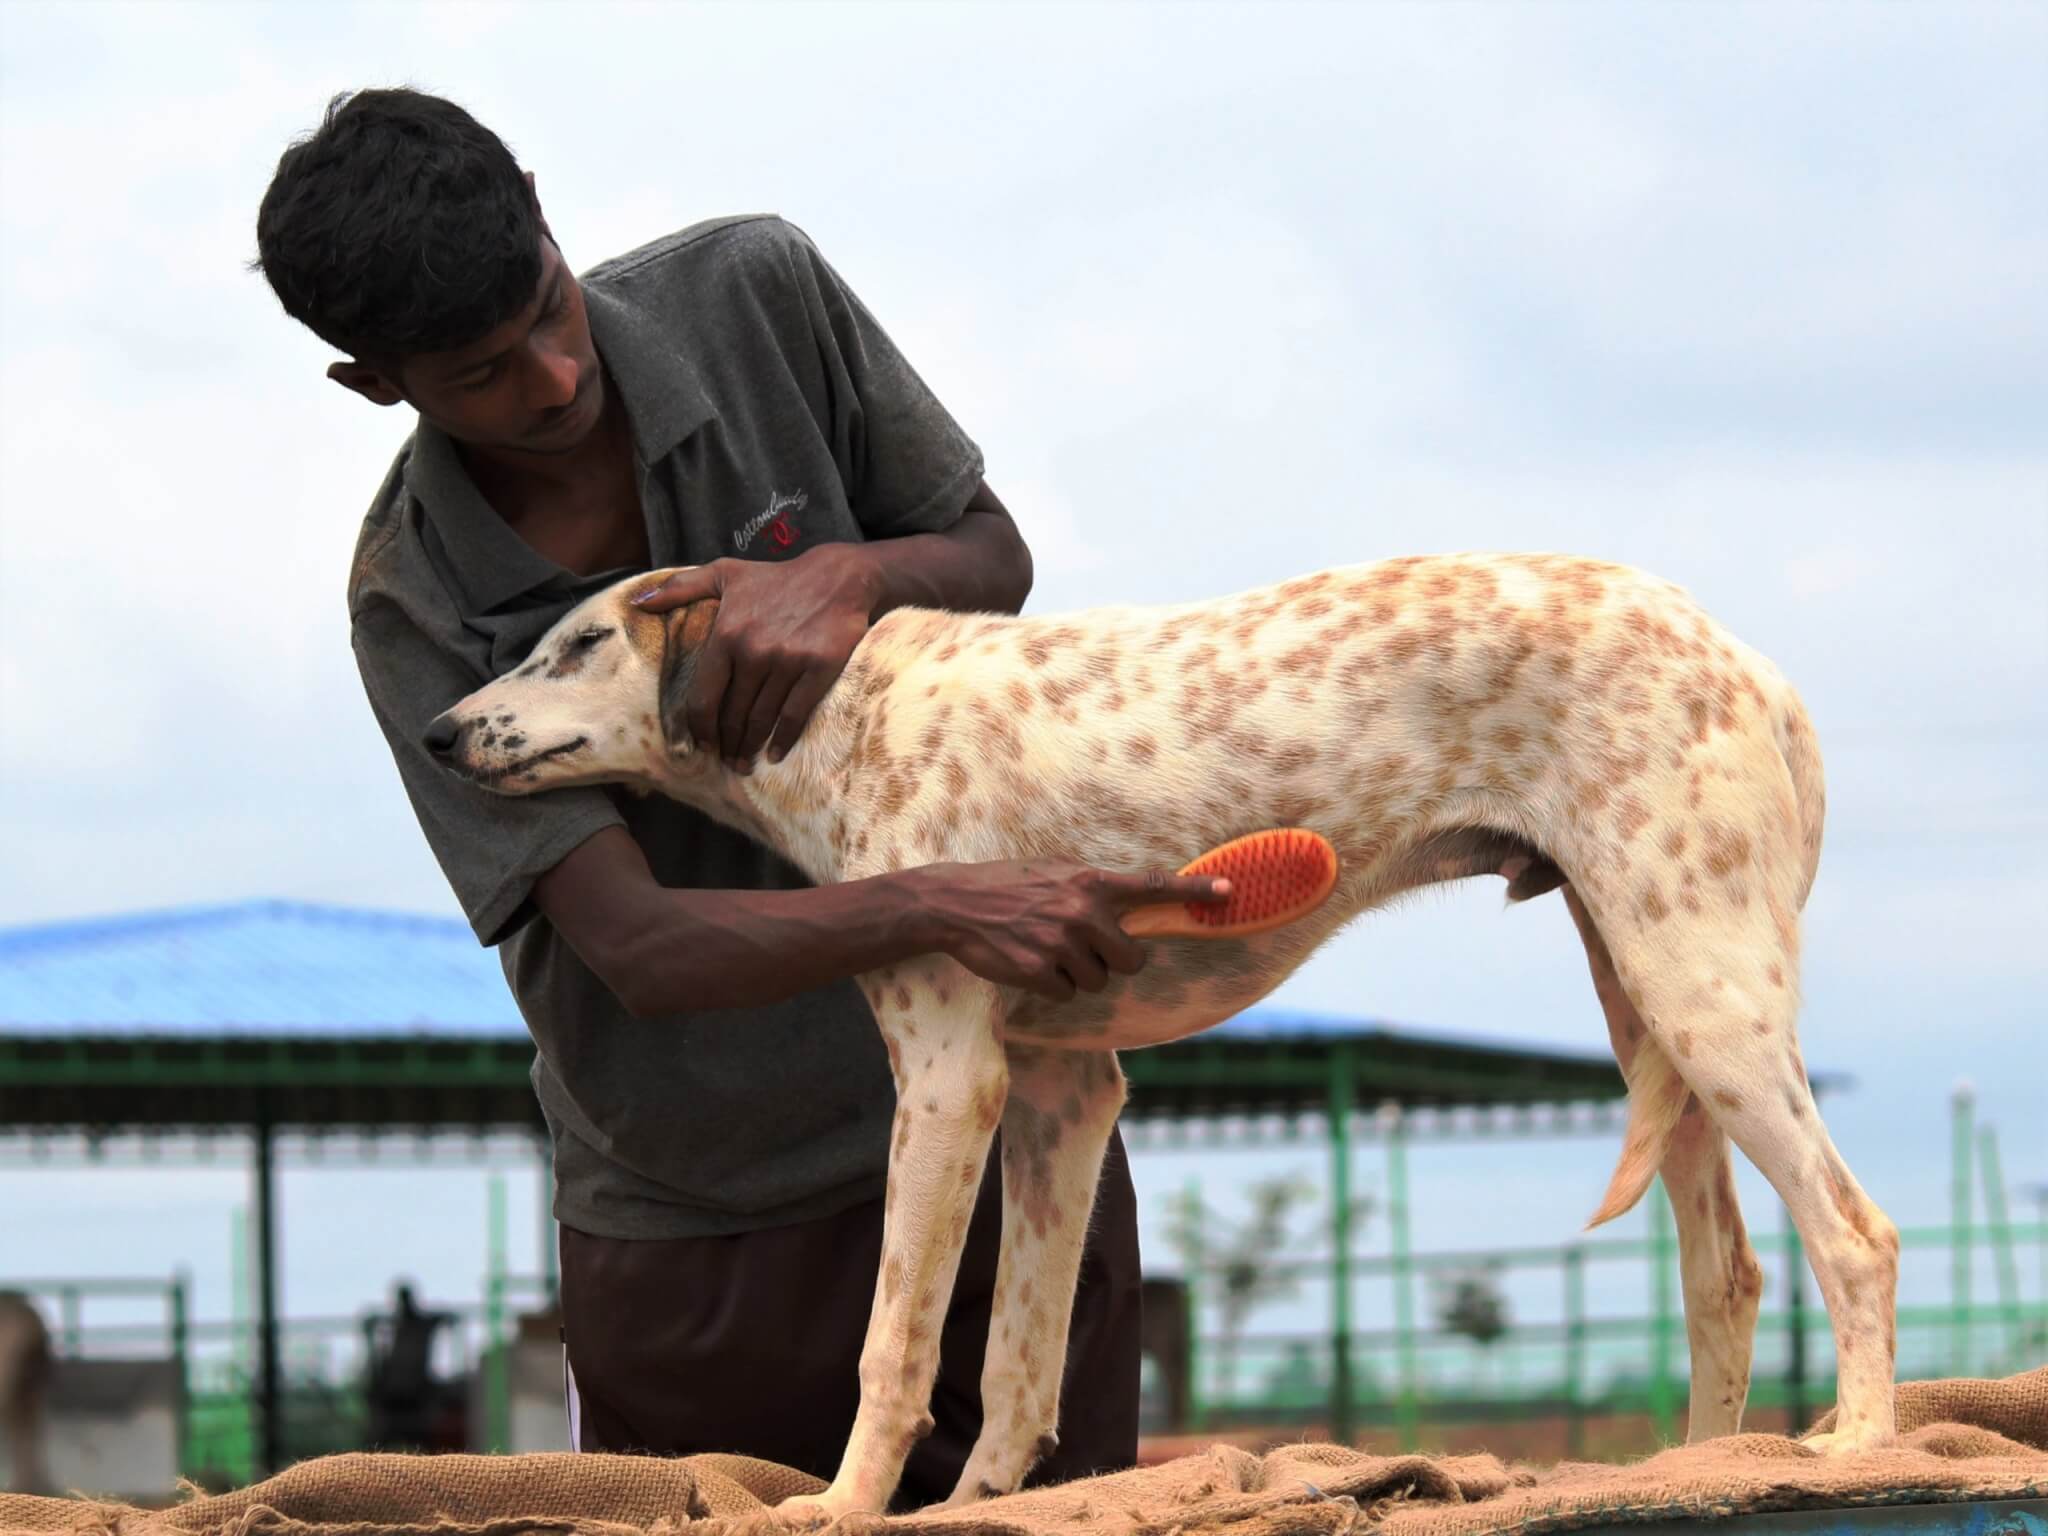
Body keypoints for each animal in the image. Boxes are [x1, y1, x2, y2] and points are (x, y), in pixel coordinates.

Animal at [428, 552, 1900, 1515]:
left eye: (580, 646)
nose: (437, 732)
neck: (838, 715)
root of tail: (1753, 664)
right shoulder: (1060, 1089)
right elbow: (1019, 1364)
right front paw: (978, 1504)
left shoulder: (950, 1078)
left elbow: (896, 1343)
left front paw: (843, 1507)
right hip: (1649, 996)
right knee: (1729, 1274)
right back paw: (1701, 1470)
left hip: (1701, 992)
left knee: (1857, 1236)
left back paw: (1860, 1446)